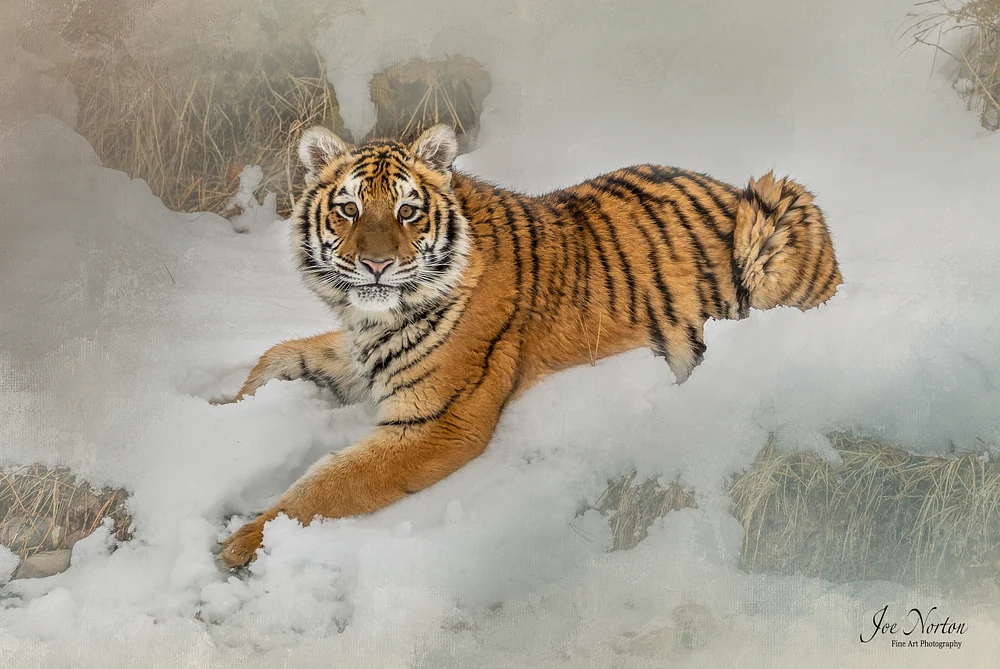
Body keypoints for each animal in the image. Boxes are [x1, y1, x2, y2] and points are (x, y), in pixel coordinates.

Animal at [218, 123, 842, 567]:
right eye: (348, 209)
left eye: (407, 211)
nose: (375, 265)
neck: (372, 318)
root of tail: (732, 185)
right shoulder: (360, 355)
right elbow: (276, 355)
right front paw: (221, 413)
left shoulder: (438, 422)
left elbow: (326, 487)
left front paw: (239, 542)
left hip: (776, 207)